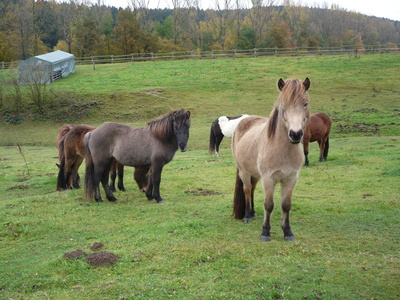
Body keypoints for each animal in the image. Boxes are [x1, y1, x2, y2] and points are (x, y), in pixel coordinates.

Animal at [231, 78, 312, 241]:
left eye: (305, 104)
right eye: (283, 106)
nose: (295, 134)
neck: (281, 151)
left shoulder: (291, 179)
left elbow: (286, 205)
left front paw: (287, 232)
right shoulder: (269, 179)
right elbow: (269, 205)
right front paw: (265, 232)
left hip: (255, 174)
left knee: (252, 188)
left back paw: (253, 212)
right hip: (244, 172)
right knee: (247, 189)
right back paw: (247, 215)